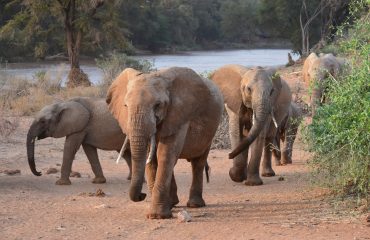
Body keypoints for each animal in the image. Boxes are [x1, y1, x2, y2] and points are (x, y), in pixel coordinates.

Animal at [105, 66, 224, 218]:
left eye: (158, 105)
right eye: (125, 106)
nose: (142, 195)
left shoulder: (179, 114)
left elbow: (165, 154)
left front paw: (157, 216)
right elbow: (151, 157)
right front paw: (159, 211)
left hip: (211, 129)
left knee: (198, 162)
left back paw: (195, 205)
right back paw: (173, 203)